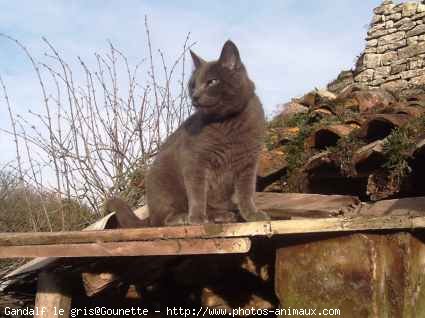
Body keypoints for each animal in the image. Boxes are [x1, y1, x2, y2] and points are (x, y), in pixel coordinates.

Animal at [107, 41, 270, 227]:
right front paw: (197, 218)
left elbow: (246, 192)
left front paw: (252, 215)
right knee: (162, 219)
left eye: (212, 81)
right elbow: (197, 192)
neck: (228, 123)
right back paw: (186, 217)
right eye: (192, 85)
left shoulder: (249, 162)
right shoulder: (194, 160)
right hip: (161, 182)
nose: (195, 96)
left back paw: (222, 215)